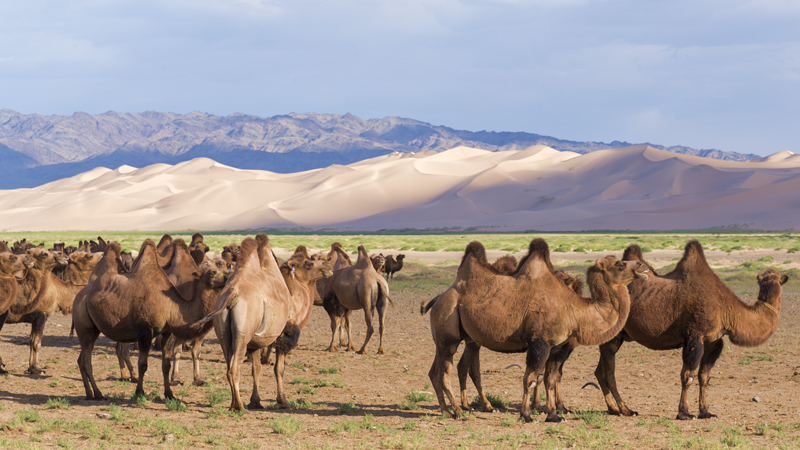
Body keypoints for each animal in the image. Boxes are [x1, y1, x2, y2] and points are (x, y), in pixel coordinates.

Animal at [73, 239, 230, 401]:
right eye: (212, 272)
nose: (228, 276)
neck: (171, 304)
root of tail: (79, 294)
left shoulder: (167, 332)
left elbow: (166, 365)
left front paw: (169, 394)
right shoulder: (145, 332)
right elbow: (143, 364)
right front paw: (139, 392)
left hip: (94, 329)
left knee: (82, 359)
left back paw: (89, 393)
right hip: (84, 325)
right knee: (87, 360)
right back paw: (98, 393)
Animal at [192, 234, 291, 412]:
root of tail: (232, 292)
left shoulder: (256, 342)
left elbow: (256, 369)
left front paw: (256, 401)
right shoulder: (281, 333)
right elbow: (278, 368)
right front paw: (283, 401)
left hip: (224, 332)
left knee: (228, 367)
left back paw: (233, 405)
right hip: (242, 334)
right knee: (233, 368)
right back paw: (239, 406)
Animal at [424, 239, 647, 422]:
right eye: (620, 264)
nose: (642, 266)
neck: (574, 310)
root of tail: (438, 299)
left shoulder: (557, 346)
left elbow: (550, 379)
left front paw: (554, 415)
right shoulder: (539, 342)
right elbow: (530, 379)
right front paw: (527, 415)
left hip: (451, 337)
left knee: (435, 371)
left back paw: (446, 411)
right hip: (448, 331)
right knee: (445, 372)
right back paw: (459, 412)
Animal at [595, 241, 787, 420]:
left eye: (779, 279)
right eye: (764, 280)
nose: (782, 278)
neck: (726, 308)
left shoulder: (714, 342)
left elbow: (704, 377)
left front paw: (706, 412)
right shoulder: (694, 336)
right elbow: (687, 376)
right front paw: (684, 413)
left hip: (619, 335)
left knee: (599, 371)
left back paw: (613, 409)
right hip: (612, 334)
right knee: (608, 372)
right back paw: (626, 410)